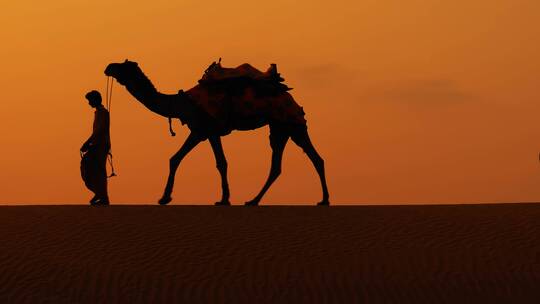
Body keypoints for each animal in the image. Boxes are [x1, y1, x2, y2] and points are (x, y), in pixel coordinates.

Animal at [103, 58, 326, 207]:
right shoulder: (204, 132)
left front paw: (222, 199)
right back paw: (254, 200)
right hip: (281, 128)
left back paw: (323, 200)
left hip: (290, 123)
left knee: (311, 159)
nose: (108, 67)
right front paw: (166, 197)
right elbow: (179, 159)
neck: (181, 103)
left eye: (122, 66)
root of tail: (292, 100)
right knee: (287, 163)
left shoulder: (205, 129)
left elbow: (217, 162)